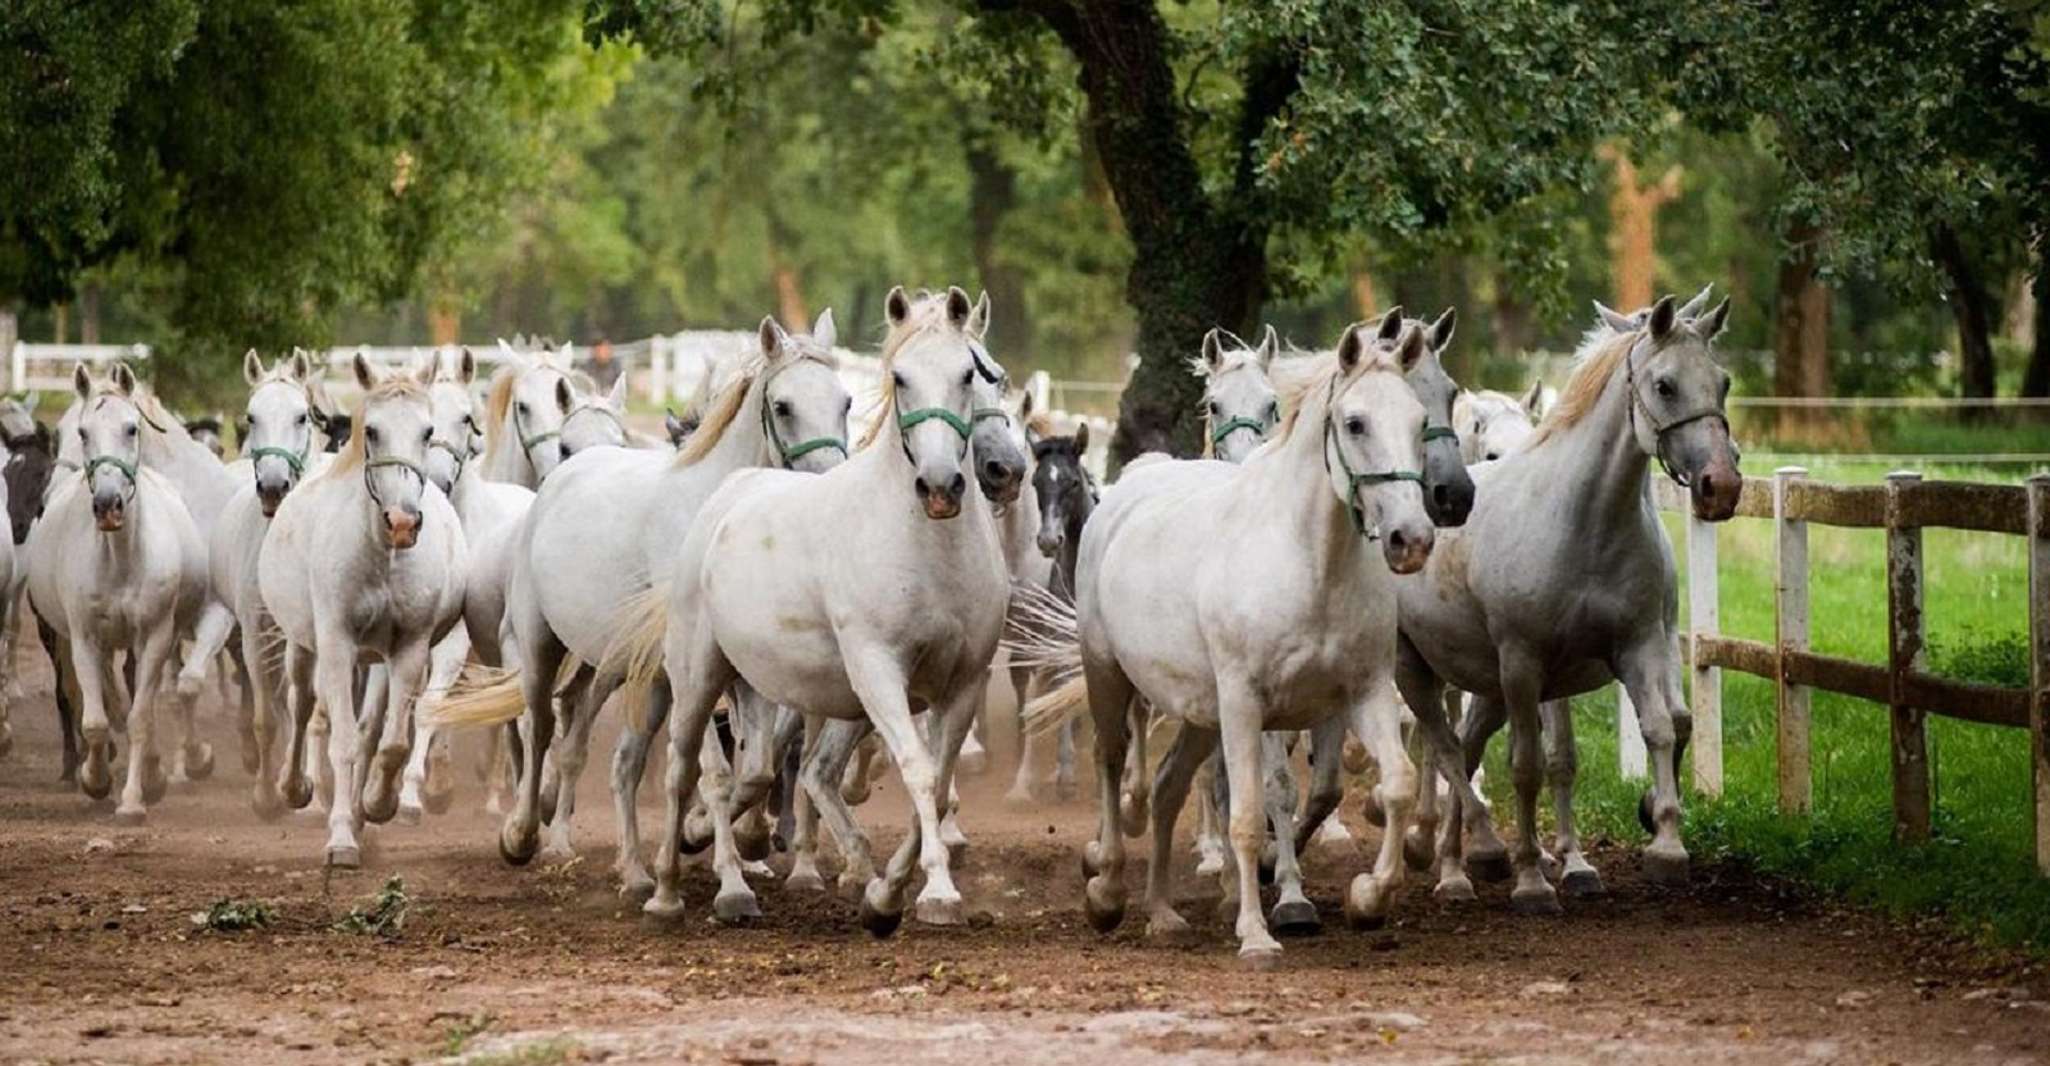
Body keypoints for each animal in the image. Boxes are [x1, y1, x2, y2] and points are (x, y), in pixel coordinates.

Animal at [29, 362, 209, 820]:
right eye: (82, 432)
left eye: (131, 428)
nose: (108, 505)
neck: (122, 559)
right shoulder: (85, 638)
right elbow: (96, 720)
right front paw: (95, 780)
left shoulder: (156, 638)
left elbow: (140, 717)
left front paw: (133, 799)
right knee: (102, 700)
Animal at [260, 358, 469, 865]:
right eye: (371, 430)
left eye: (427, 430)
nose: (403, 522)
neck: (382, 557)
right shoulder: (337, 643)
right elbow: (343, 742)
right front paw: (340, 837)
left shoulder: (410, 646)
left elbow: (388, 742)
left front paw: (377, 804)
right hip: (304, 645)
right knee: (301, 705)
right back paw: (295, 788)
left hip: (376, 660)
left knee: (371, 727)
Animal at [627, 287, 1004, 926]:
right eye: (899, 378)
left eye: (971, 374)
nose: (939, 486)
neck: (931, 552)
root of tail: (728, 494)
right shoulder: (878, 670)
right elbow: (917, 771)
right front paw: (936, 892)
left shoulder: (964, 682)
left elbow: (938, 780)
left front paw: (885, 894)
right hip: (697, 674)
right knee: (686, 772)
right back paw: (670, 889)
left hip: (756, 683)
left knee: (769, 772)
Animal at [1020, 319, 1443, 963]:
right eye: (1355, 423)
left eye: (1419, 421)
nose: (1411, 538)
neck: (1309, 560)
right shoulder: (1246, 704)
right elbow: (1247, 812)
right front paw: (1258, 930)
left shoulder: (1362, 692)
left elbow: (1395, 785)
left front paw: (1368, 897)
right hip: (1109, 676)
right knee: (1112, 762)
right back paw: (1108, 890)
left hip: (1200, 710)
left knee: (1169, 786)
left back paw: (1163, 912)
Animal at [1394, 295, 1730, 910]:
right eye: (1665, 385)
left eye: (1723, 382)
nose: (1724, 483)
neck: (1586, 522)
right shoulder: (1525, 664)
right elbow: (1527, 766)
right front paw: (1532, 879)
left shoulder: (1639, 646)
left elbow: (1660, 729)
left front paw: (1664, 844)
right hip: (1420, 670)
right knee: (1444, 749)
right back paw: (1453, 867)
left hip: (1487, 686)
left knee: (1465, 748)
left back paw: (1463, 859)